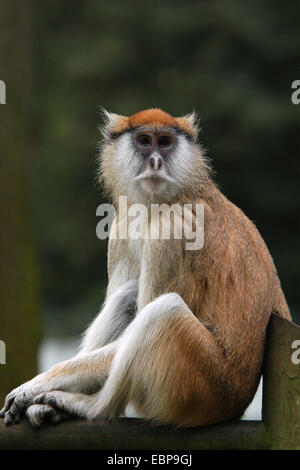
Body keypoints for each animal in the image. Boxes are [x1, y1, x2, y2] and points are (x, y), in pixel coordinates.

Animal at [0, 108, 290, 428]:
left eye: (164, 142)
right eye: (144, 140)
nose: (156, 161)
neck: (171, 197)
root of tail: (237, 404)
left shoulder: (171, 232)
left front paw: (34, 385)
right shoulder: (120, 227)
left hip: (200, 387)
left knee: (164, 311)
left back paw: (94, 407)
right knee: (130, 295)